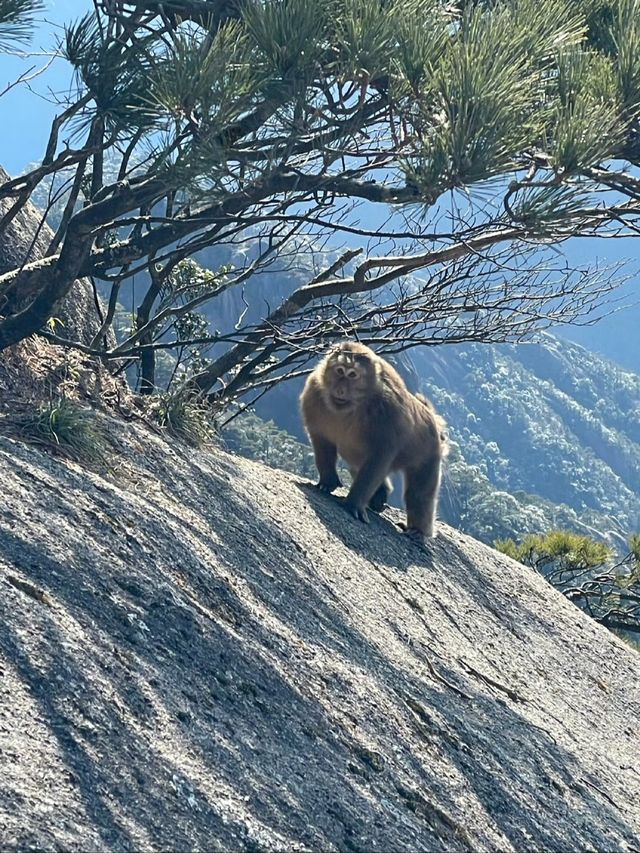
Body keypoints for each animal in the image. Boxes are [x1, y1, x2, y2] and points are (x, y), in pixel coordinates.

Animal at [298, 342, 444, 536]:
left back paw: (419, 531)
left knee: (419, 494)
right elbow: (321, 440)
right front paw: (328, 481)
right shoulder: (313, 393)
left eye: (353, 375)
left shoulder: (388, 411)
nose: (340, 389)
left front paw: (354, 504)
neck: (354, 405)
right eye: (340, 371)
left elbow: (379, 457)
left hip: (429, 452)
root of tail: (431, 416)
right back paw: (381, 494)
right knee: (356, 463)